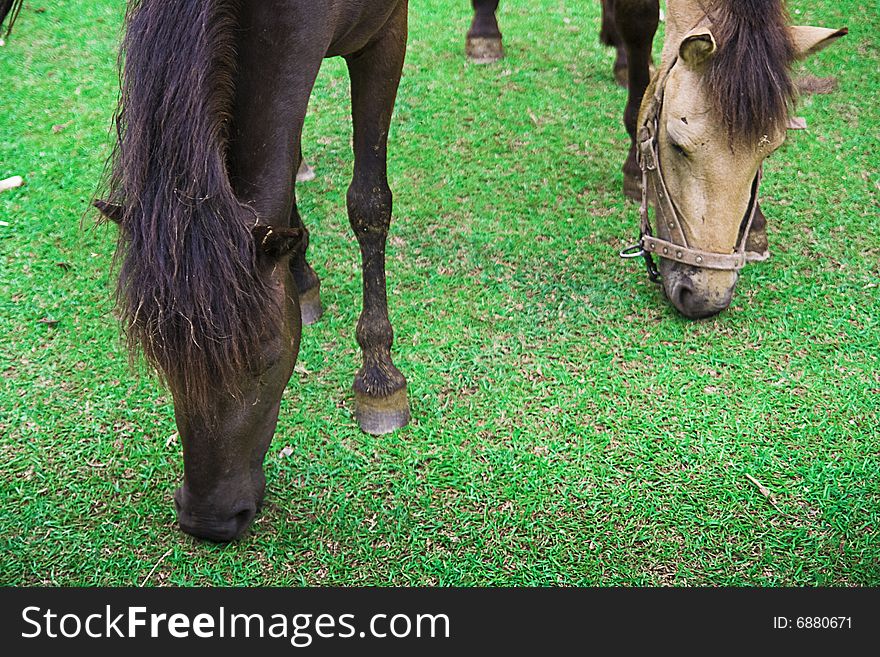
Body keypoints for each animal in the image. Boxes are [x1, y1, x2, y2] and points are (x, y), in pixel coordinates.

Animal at [96, 0, 412, 540]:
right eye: (162, 358)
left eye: (267, 360)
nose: (210, 519)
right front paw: (301, 279)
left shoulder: (386, 37)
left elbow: (369, 203)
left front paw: (379, 379)